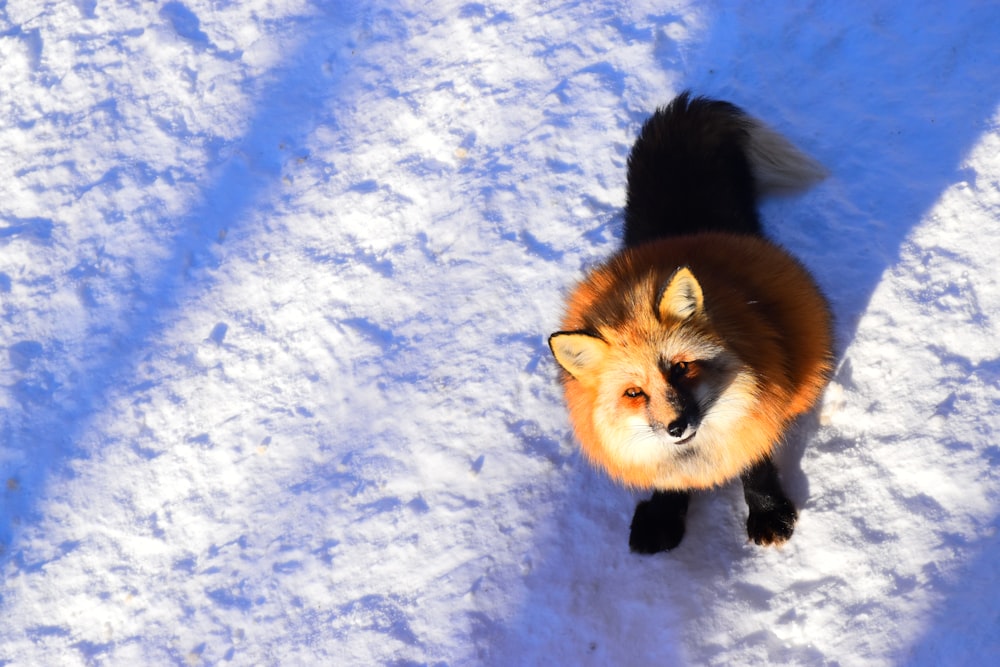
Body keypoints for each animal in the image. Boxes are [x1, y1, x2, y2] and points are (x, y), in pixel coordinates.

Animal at [552, 94, 832, 552]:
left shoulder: (762, 402)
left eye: (681, 367)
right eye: (633, 393)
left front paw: (768, 512)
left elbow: (755, 463)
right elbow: (668, 479)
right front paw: (664, 516)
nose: (676, 426)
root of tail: (683, 231)